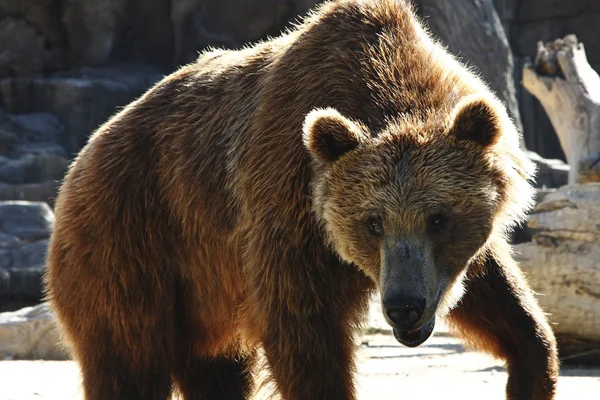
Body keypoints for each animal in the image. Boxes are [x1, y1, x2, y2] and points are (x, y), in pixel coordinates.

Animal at [44, 0, 560, 398]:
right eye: (372, 222)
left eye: (439, 219)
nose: (404, 307)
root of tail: (81, 157)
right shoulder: (285, 208)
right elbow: (304, 337)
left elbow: (504, 304)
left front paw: (531, 366)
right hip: (131, 240)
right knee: (128, 359)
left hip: (201, 293)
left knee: (217, 370)